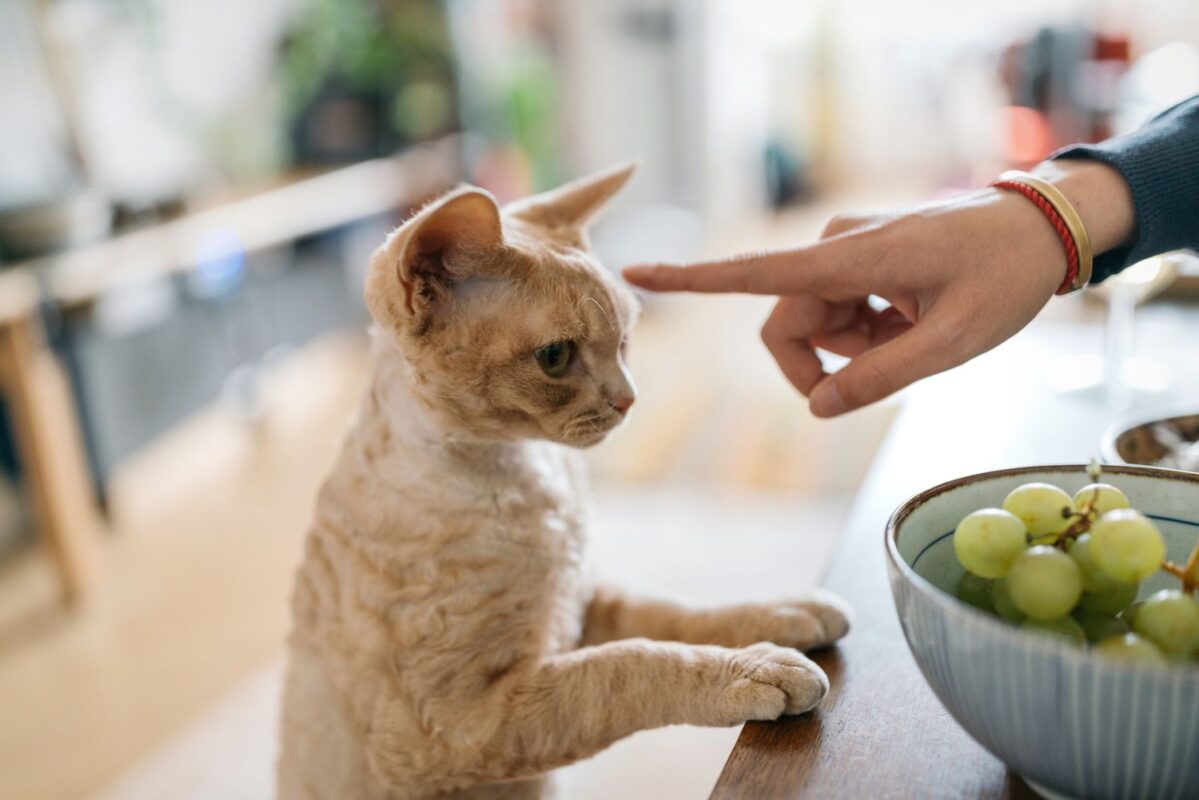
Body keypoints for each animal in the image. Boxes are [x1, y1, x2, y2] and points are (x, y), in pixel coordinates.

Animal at [278, 164, 853, 800]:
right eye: (555, 356)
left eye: (625, 340)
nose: (630, 399)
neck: (526, 476)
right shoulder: (451, 728)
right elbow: (624, 667)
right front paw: (754, 668)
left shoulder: (581, 606)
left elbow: (673, 614)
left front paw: (783, 613)